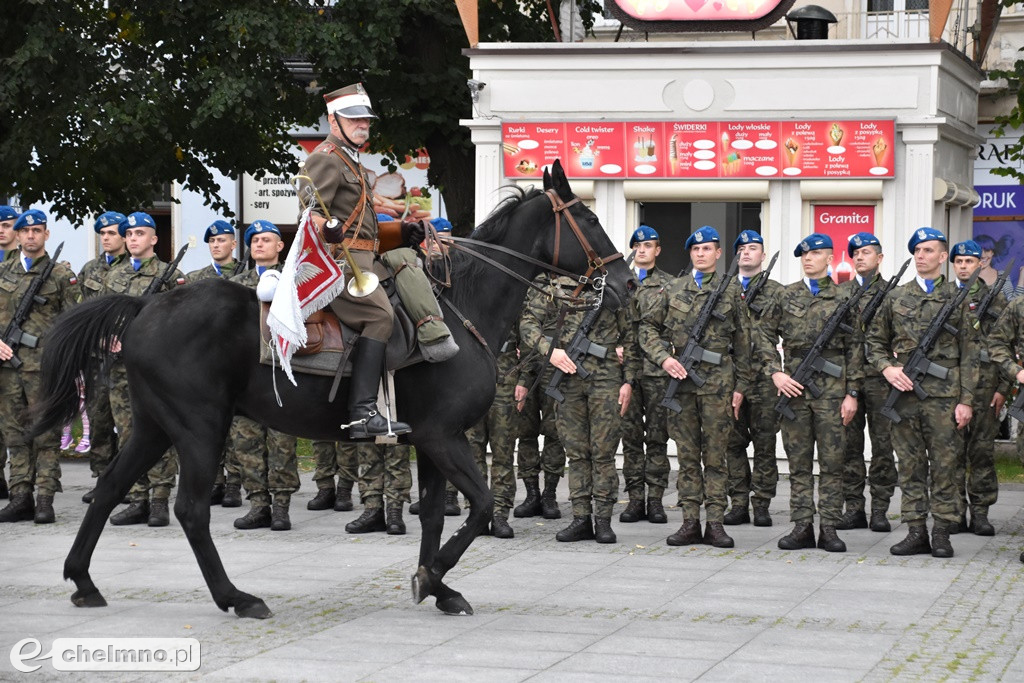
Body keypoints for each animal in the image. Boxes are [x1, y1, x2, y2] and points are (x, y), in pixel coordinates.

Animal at [32, 160, 630, 618]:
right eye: (589, 216)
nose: (624, 282)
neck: (461, 310)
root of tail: (145, 306)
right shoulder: (443, 437)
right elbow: (480, 506)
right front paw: (433, 576)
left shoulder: (435, 440)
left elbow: (437, 515)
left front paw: (438, 586)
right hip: (199, 428)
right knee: (192, 511)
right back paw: (237, 598)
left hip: (155, 426)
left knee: (110, 488)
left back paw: (83, 581)